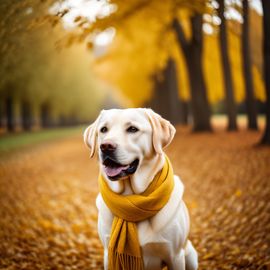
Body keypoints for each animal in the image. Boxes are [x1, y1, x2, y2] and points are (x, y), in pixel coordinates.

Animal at [84, 108, 198, 270]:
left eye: (133, 129)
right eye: (103, 130)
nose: (105, 146)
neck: (132, 197)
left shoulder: (175, 256)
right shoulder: (108, 254)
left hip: (190, 255)